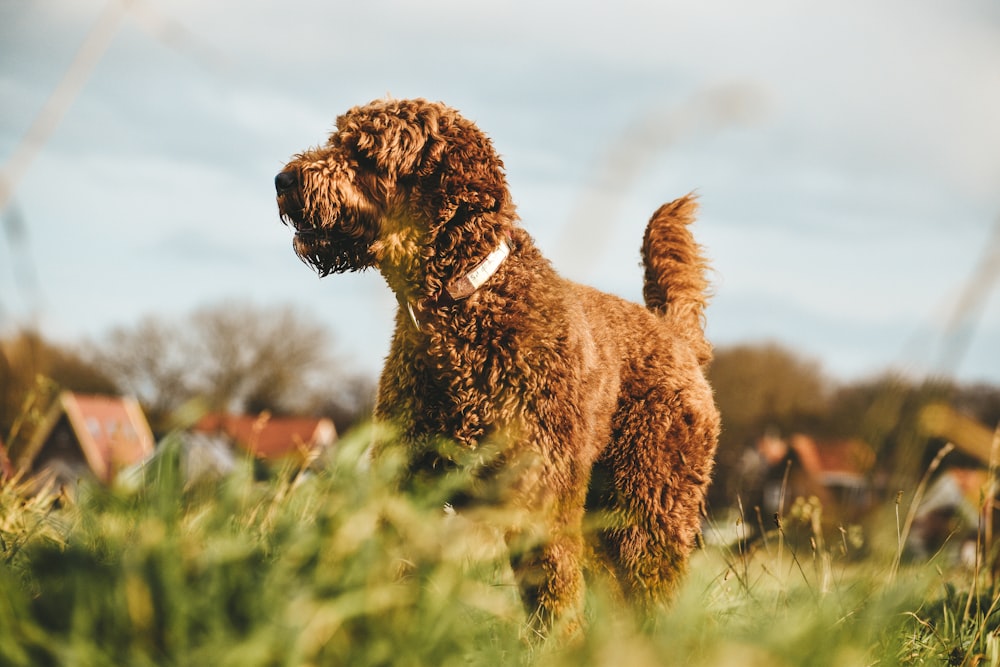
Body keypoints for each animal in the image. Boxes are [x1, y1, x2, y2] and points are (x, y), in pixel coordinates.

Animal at [276, 99, 720, 636]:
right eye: (336, 139)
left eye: (364, 153)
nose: (282, 179)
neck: (464, 309)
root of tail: (674, 333)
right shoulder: (410, 481)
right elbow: (395, 571)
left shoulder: (538, 493)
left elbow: (552, 592)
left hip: (651, 498)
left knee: (655, 588)